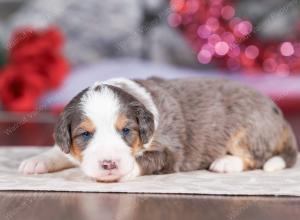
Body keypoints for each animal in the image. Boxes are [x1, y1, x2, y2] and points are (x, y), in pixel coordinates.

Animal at [19, 77, 298, 182]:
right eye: (85, 134)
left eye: (127, 131)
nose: (109, 164)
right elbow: (59, 150)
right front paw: (36, 161)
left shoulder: (170, 151)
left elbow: (145, 160)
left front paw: (124, 170)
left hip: (249, 129)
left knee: (257, 158)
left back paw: (225, 163)